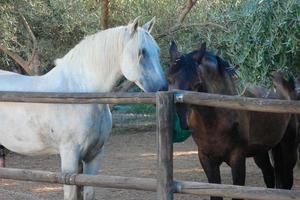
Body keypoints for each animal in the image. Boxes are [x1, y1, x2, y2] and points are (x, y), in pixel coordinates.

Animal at [0, 17, 166, 200]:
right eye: (141, 52)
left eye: (157, 51)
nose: (164, 88)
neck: (80, 94)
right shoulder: (69, 156)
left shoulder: (94, 155)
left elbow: (88, 192)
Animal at [168, 41, 298, 199]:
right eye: (169, 79)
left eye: (197, 83)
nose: (180, 119)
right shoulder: (206, 159)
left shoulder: (237, 159)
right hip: (262, 152)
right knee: (269, 176)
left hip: (288, 147)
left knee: (286, 181)